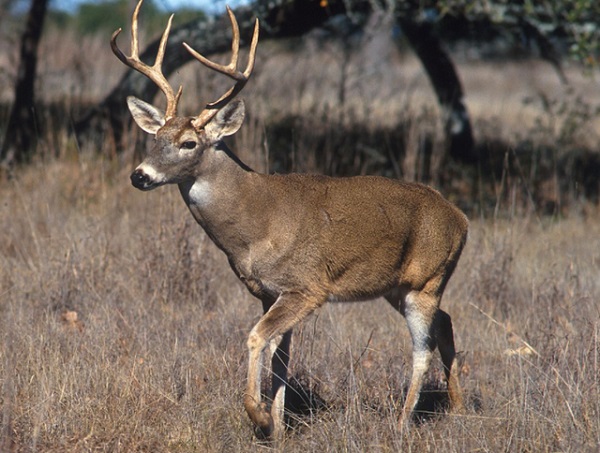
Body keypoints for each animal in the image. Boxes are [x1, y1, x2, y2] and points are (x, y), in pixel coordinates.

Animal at [112, 0, 468, 438]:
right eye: (155, 138)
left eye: (188, 143)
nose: (139, 175)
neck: (255, 224)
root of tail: (461, 218)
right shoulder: (269, 291)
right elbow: (280, 356)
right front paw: (279, 427)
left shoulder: (307, 286)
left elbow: (255, 339)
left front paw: (260, 416)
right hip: (399, 286)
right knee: (445, 323)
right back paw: (458, 408)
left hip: (426, 279)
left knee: (423, 347)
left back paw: (402, 423)